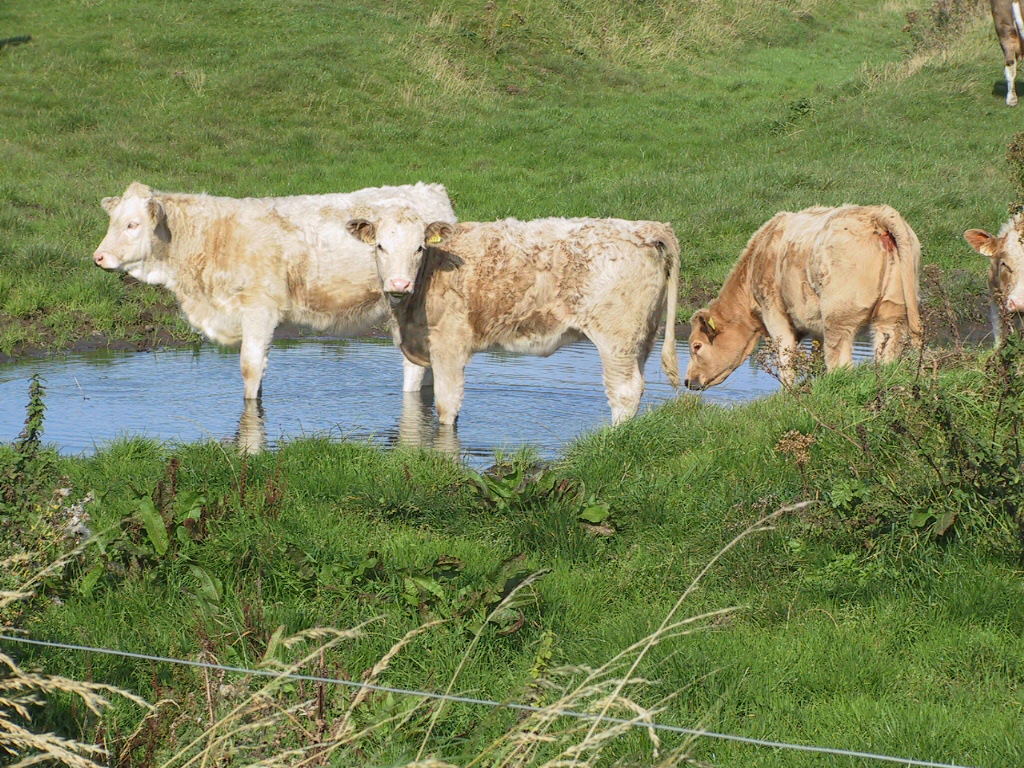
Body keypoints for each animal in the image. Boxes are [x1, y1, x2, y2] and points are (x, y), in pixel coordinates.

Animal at [93, 181, 456, 399]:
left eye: (132, 224)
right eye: (113, 222)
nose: (99, 257)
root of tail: (430, 190)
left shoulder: (259, 310)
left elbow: (250, 367)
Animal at [344, 211, 679, 428]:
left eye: (419, 248)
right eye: (380, 246)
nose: (399, 284)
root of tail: (645, 228)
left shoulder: (449, 348)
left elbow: (446, 406)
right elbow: (413, 396)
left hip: (616, 336)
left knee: (624, 391)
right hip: (641, 336)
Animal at [684, 204, 925, 391]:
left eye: (696, 346)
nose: (687, 381)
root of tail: (876, 213)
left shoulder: (774, 314)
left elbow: (786, 361)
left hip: (839, 318)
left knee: (841, 365)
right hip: (892, 314)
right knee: (886, 356)